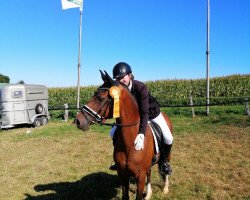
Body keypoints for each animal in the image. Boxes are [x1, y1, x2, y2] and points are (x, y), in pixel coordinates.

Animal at [74, 71, 173, 199]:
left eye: (101, 98)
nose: (77, 121)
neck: (129, 142)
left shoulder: (140, 177)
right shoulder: (122, 173)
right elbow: (125, 196)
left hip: (167, 153)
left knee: (165, 167)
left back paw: (165, 188)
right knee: (149, 173)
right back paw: (148, 194)